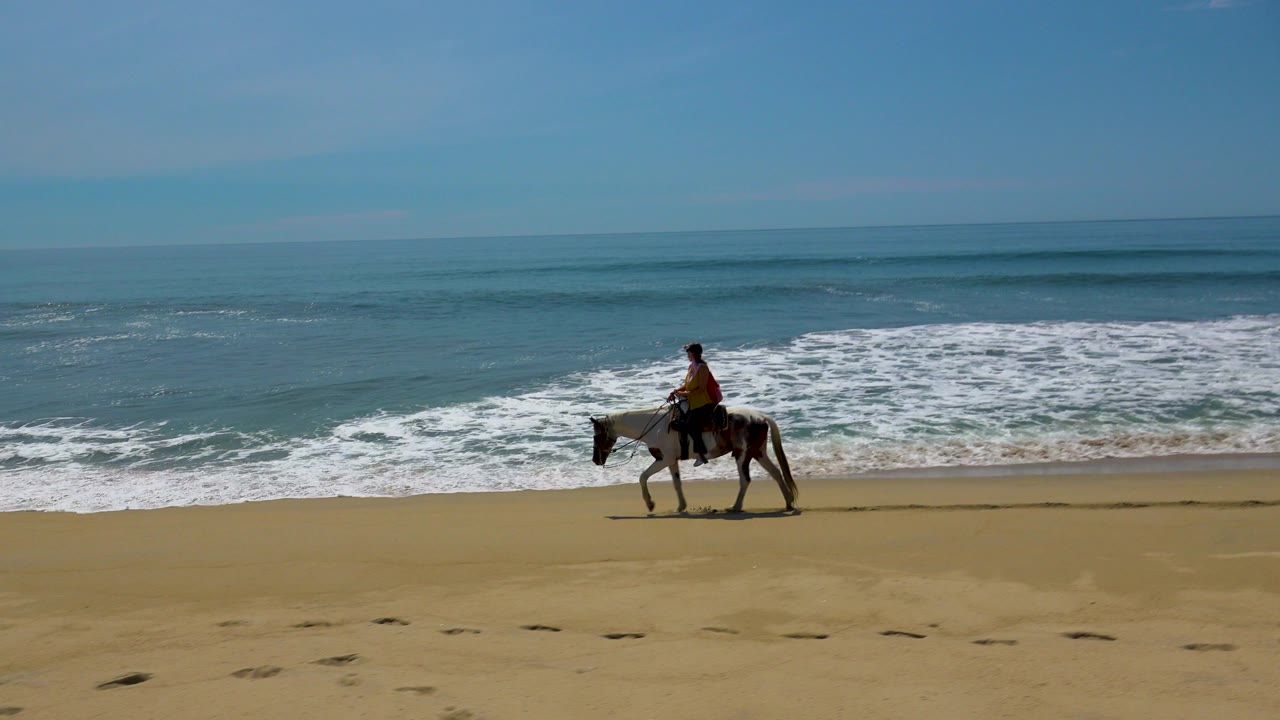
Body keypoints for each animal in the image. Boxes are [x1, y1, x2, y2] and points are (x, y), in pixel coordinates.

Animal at [590, 405, 798, 514]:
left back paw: (736, 506)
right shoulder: (671, 461)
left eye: (596, 436)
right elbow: (676, 483)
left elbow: (643, 476)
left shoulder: (664, 459)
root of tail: (761, 416)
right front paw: (681, 506)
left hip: (742, 455)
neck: (654, 427)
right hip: (758, 452)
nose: (595, 460)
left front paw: (650, 503)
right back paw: (788, 503)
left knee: (745, 480)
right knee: (776, 473)